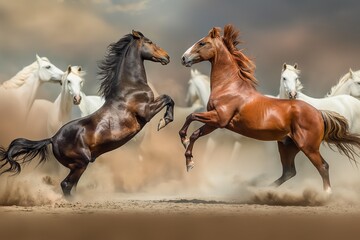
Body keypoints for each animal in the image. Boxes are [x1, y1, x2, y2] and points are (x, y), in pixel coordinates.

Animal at [0, 30, 174, 196]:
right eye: (149, 42)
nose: (167, 56)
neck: (131, 87)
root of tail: (53, 138)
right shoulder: (146, 112)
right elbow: (168, 98)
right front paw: (164, 121)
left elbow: (168, 98)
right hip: (80, 163)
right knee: (66, 184)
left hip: (77, 165)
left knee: (71, 186)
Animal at [181, 23, 360, 193]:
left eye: (202, 43)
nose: (184, 58)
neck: (229, 87)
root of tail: (318, 113)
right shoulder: (215, 123)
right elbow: (195, 134)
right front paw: (189, 160)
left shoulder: (219, 118)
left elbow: (190, 117)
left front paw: (185, 143)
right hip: (287, 146)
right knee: (289, 172)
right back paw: (263, 190)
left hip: (308, 147)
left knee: (323, 166)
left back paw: (325, 194)